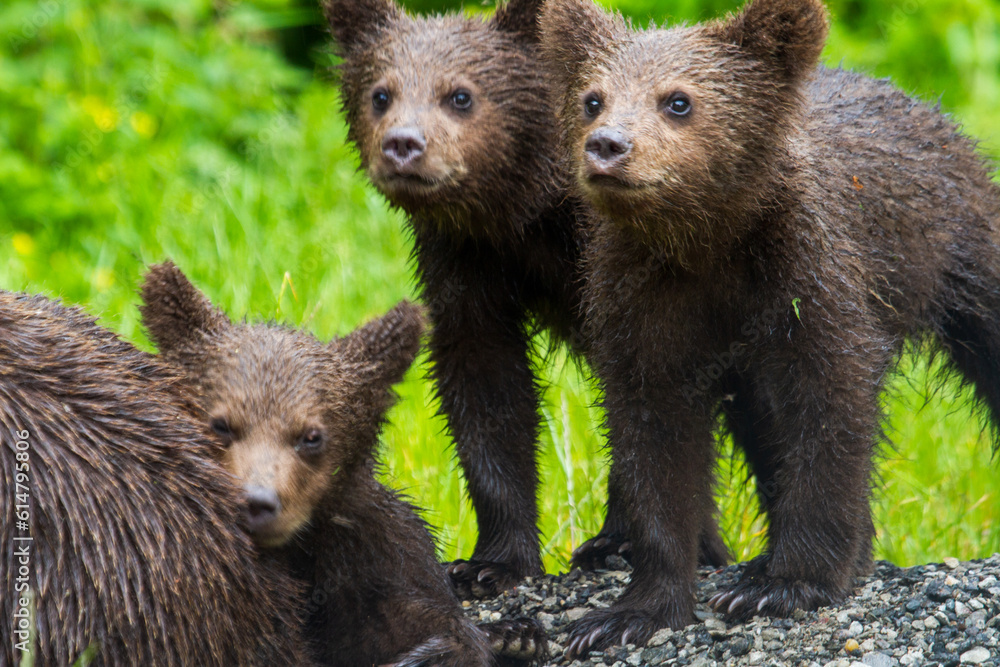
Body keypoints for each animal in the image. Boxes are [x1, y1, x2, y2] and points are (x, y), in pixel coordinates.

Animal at [321, 0, 730, 593]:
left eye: (460, 95)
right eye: (380, 93)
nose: (404, 145)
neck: (527, 211)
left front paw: (620, 540)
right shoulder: (467, 259)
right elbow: (486, 385)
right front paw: (488, 563)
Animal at [540, 0, 1000, 654]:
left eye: (677, 100)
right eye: (592, 99)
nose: (607, 146)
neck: (708, 243)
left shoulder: (809, 278)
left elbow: (829, 411)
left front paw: (784, 584)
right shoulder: (641, 304)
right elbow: (653, 438)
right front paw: (628, 611)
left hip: (962, 249)